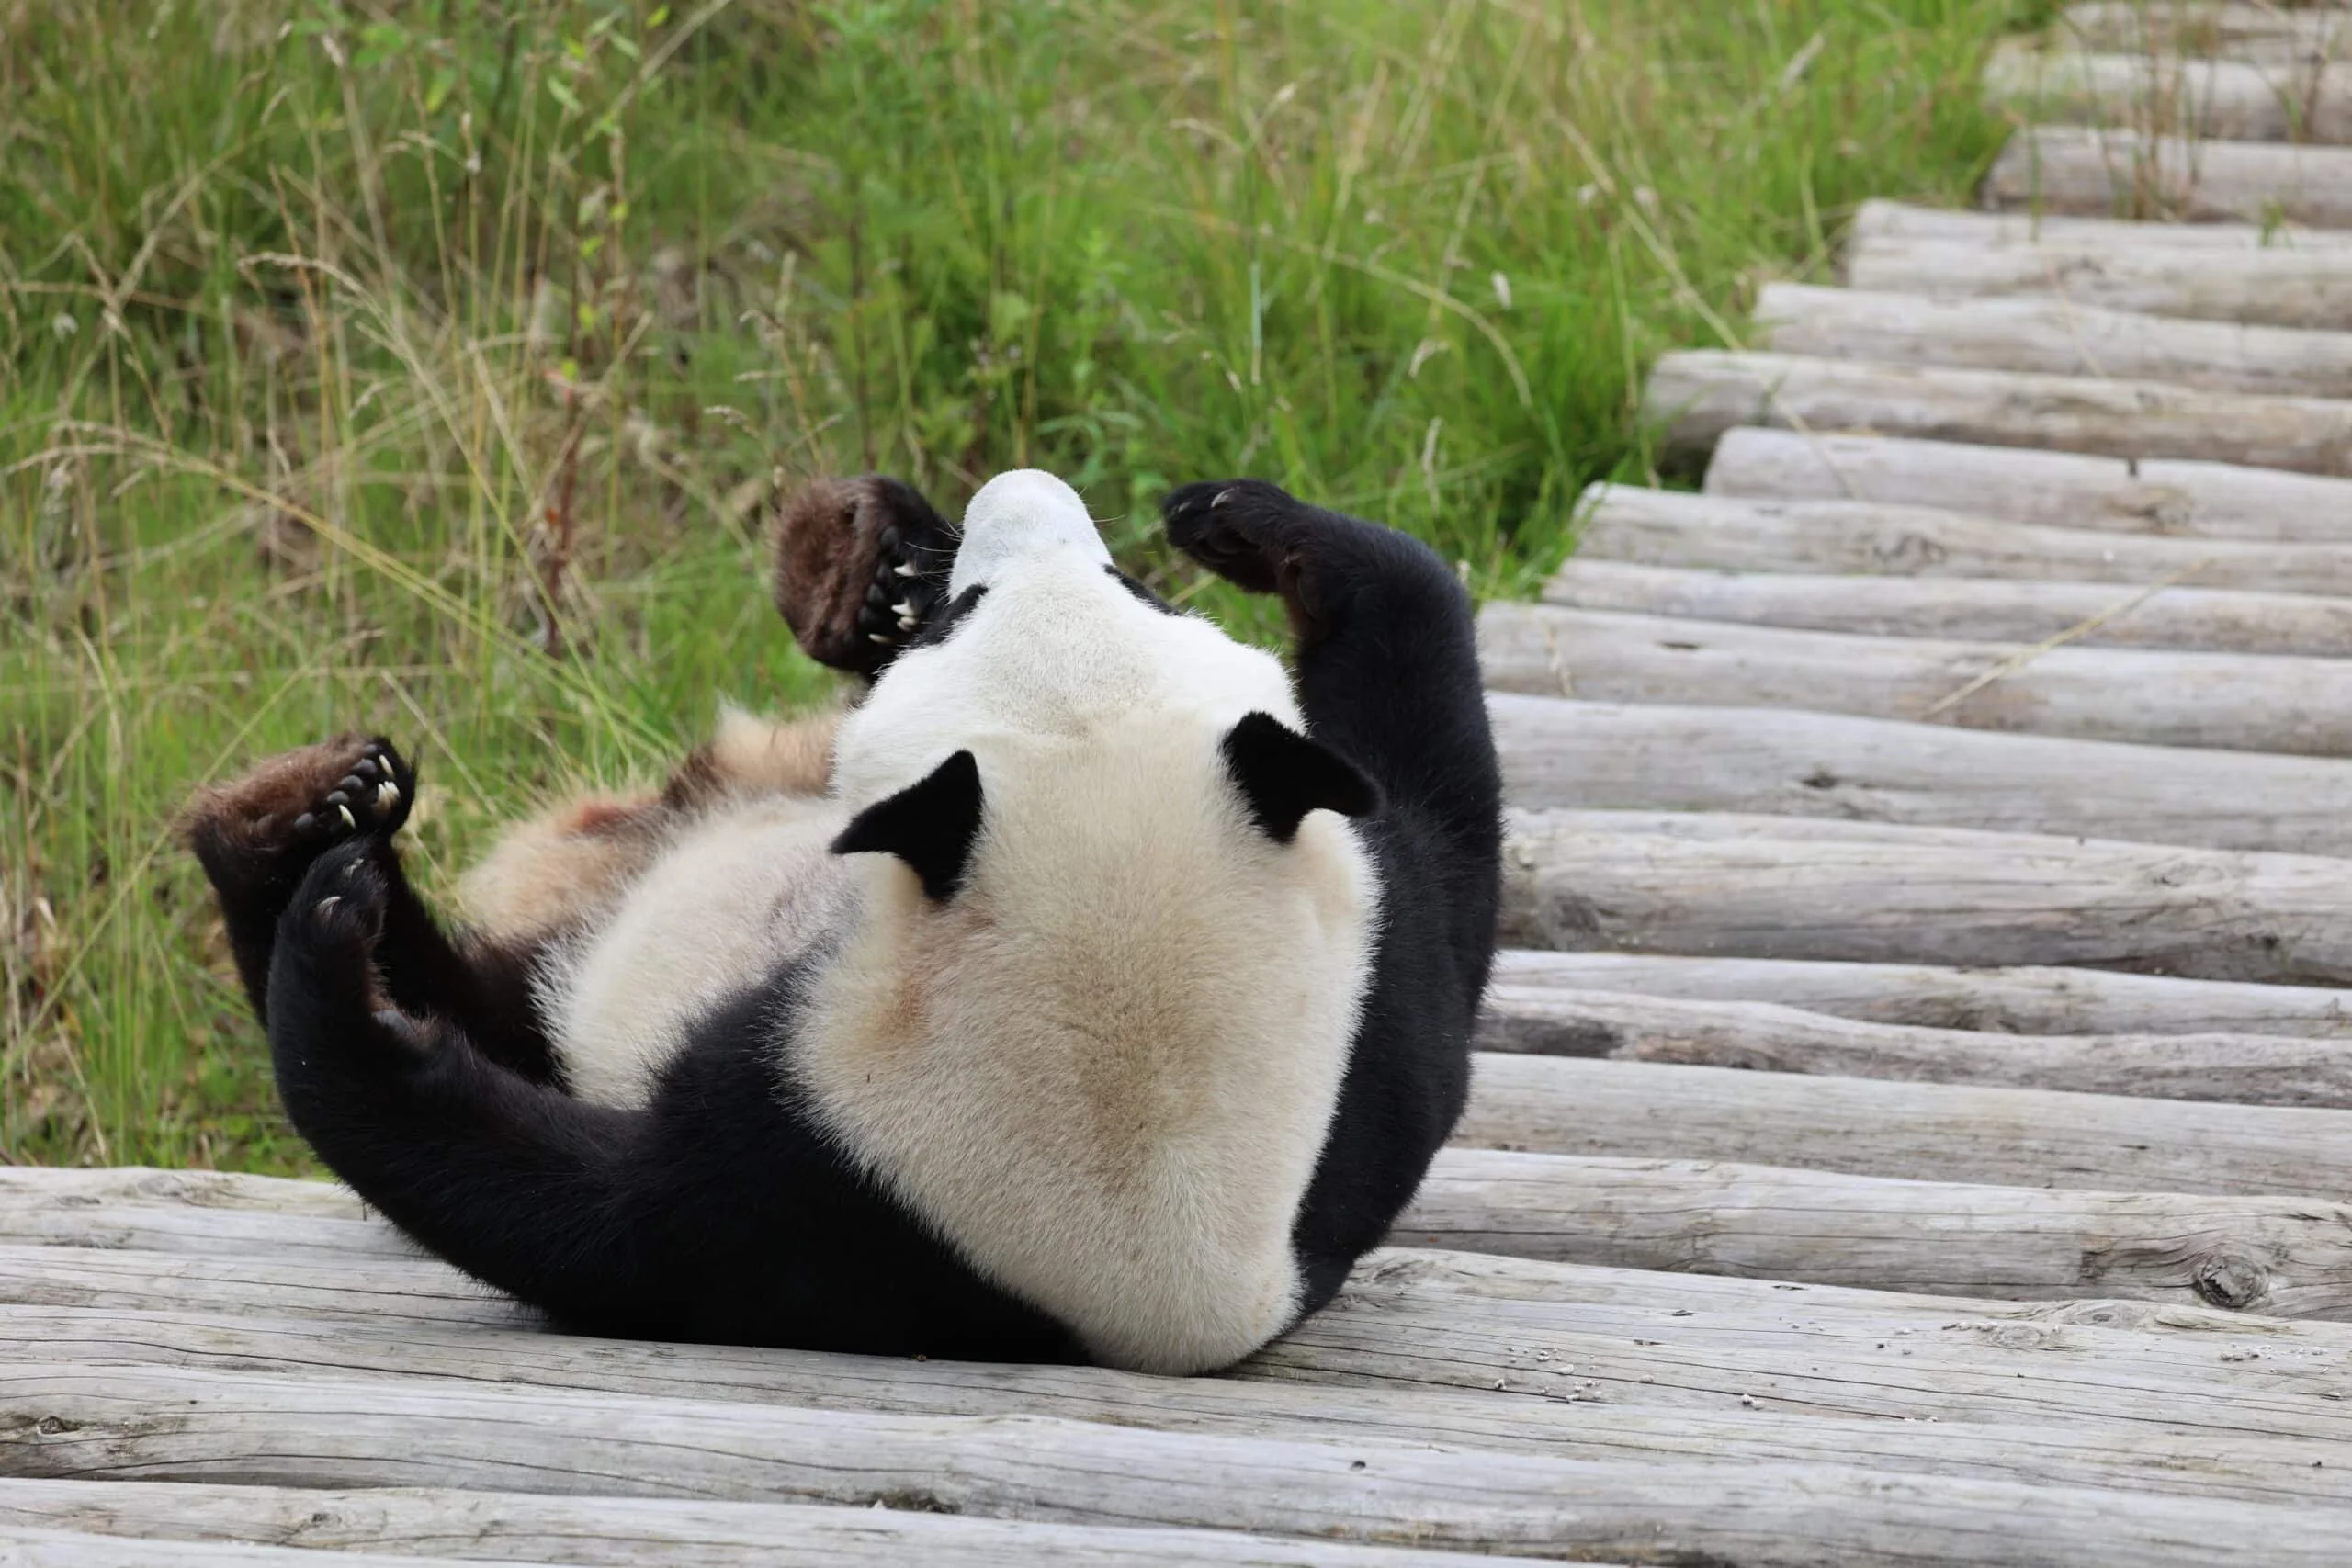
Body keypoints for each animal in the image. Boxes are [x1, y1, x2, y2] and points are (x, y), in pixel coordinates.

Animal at [182, 469, 1501, 1374]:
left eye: (974, 614)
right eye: (1137, 585)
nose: (1019, 487)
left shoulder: (830, 1179)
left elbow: (578, 1214)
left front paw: (339, 968)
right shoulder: (1387, 1011)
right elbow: (1434, 797)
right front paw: (1246, 520)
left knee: (499, 1016)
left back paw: (285, 853)